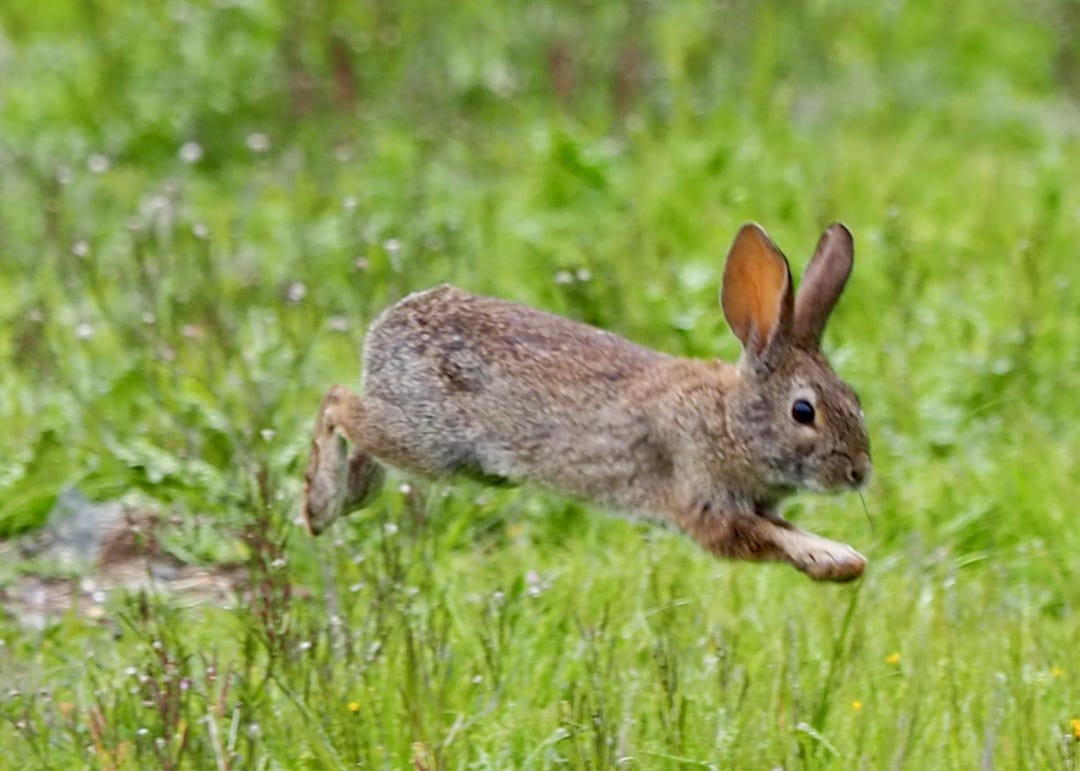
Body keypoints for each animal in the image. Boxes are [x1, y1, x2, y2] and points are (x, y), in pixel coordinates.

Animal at [302, 222, 871, 581]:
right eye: (803, 411)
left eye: (854, 396)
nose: (860, 473)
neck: (730, 421)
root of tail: (384, 330)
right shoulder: (703, 500)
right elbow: (764, 537)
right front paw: (838, 557)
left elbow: (783, 530)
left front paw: (836, 561)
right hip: (429, 439)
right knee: (336, 402)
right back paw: (317, 505)